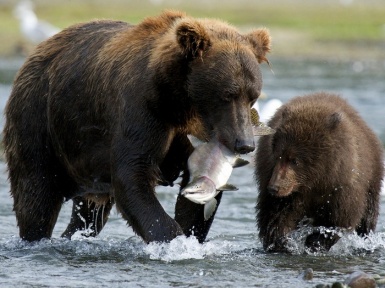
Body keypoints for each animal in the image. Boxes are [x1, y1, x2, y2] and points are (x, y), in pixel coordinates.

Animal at [4, 10, 272, 242]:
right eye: (227, 94)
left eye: (252, 96)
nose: (244, 144)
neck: (179, 100)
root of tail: (37, 51)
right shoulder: (141, 110)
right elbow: (133, 175)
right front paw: (172, 238)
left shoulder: (193, 132)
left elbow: (192, 201)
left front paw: (189, 234)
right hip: (39, 118)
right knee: (36, 194)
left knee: (89, 216)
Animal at [254, 93, 382, 252]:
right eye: (278, 156)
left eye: (294, 160)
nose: (274, 187)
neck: (315, 180)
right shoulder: (282, 186)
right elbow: (276, 216)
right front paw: (282, 243)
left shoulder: (343, 184)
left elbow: (338, 219)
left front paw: (315, 242)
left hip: (372, 177)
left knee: (368, 215)